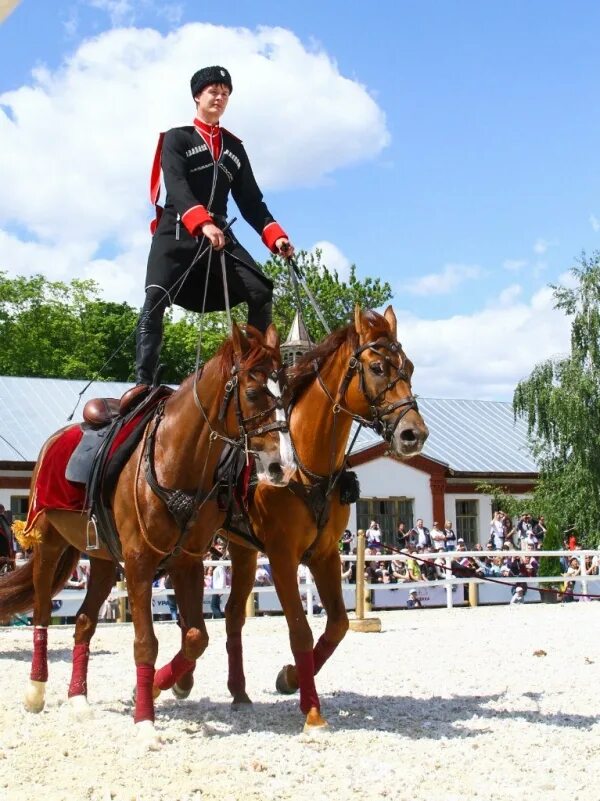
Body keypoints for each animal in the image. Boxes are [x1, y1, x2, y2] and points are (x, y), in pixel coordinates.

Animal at [0, 324, 292, 744]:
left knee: (84, 621)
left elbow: (196, 636)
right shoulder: (139, 563)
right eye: (253, 393)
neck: (176, 460)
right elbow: (145, 643)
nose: (281, 466)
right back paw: (36, 690)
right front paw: (145, 720)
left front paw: (165, 684)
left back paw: (78, 698)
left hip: (103, 560)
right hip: (48, 545)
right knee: (41, 611)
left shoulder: (187, 562)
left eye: (285, 389)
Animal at [155, 304, 426, 732]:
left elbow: (338, 626)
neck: (306, 465)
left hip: (243, 551)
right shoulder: (283, 559)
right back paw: (182, 679)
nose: (414, 434)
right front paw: (311, 709)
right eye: (378, 367)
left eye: (410, 368)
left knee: (233, 616)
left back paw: (238, 692)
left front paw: (292, 678)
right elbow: (300, 629)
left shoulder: (325, 555)